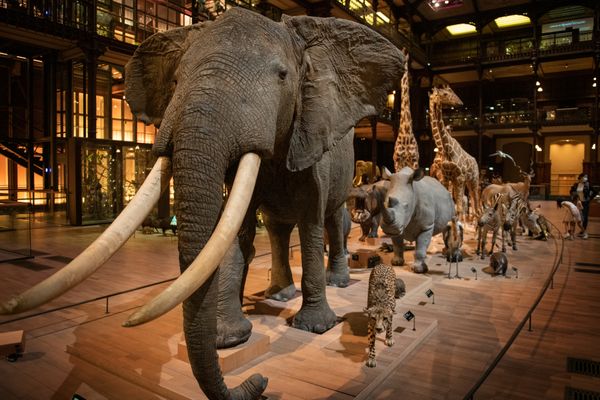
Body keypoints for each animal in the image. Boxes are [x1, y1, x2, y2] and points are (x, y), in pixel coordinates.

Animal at [1, 8, 404, 400]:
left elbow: (310, 225)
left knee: (332, 220)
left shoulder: (310, 143)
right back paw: (279, 293)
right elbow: (234, 232)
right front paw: (229, 338)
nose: (260, 381)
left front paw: (315, 327)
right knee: (276, 229)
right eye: (177, 79)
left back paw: (337, 281)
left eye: (283, 76)